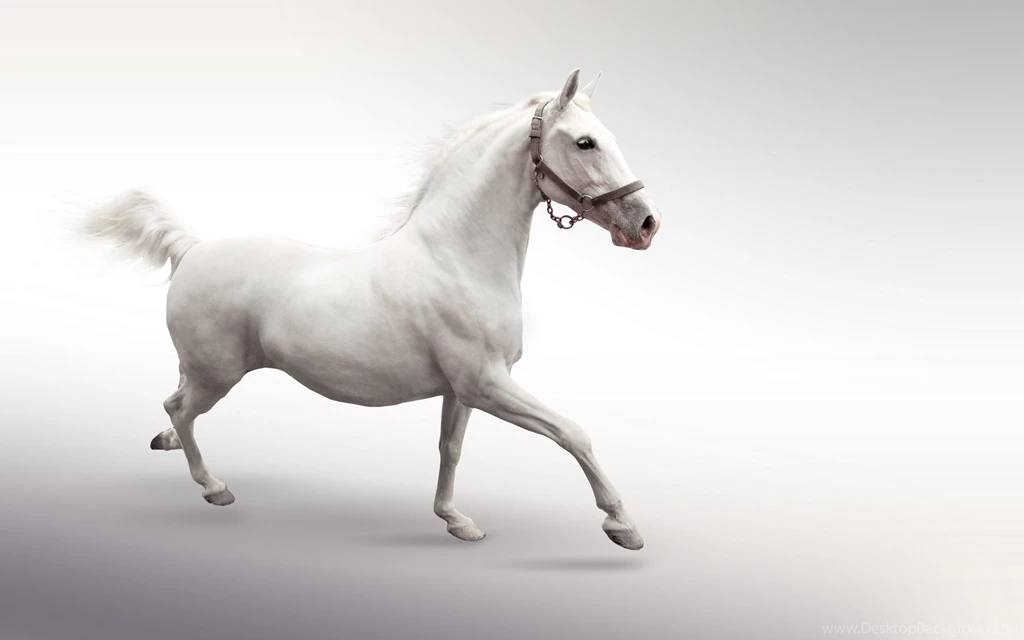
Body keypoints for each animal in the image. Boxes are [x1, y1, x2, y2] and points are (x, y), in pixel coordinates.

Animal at [78, 69, 662, 550]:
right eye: (585, 142)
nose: (646, 224)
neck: (457, 258)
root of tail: (191, 249)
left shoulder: (461, 390)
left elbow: (450, 449)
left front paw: (456, 521)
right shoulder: (487, 384)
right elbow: (573, 433)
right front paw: (622, 525)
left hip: (200, 368)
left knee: (176, 406)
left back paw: (168, 446)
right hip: (217, 374)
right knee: (179, 408)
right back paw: (214, 488)